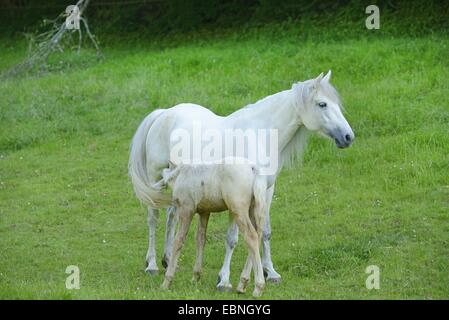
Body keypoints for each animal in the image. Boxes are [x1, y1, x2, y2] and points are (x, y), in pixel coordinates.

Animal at [154, 160, 266, 298]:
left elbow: (178, 241)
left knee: (251, 237)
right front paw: (195, 277)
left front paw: (166, 282)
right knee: (258, 235)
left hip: (238, 210)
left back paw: (258, 287)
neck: (181, 174)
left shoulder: (186, 210)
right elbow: (200, 239)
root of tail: (252, 168)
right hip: (253, 209)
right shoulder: (204, 212)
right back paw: (242, 284)